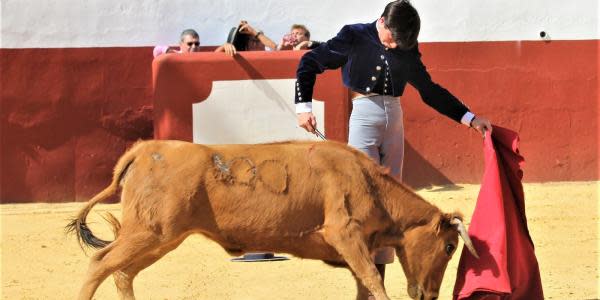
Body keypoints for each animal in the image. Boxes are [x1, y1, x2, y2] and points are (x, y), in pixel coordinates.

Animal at [67, 141, 478, 300]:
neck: (370, 183)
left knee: (122, 272)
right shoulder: (345, 235)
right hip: (149, 233)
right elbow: (373, 281)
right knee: (100, 263)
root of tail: (145, 149)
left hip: (161, 238)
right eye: (449, 246)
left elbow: (366, 283)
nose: (429, 295)